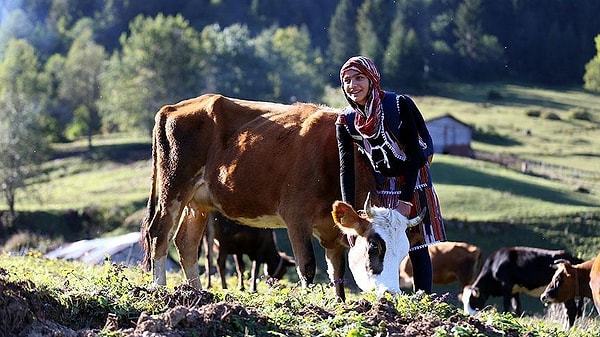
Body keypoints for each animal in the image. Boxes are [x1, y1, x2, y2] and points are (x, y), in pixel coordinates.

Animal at [141, 92, 424, 300]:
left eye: (403, 252)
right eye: (375, 247)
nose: (391, 294)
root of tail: (172, 108)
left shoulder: (331, 231)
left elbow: (337, 272)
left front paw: (339, 304)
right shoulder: (296, 216)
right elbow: (307, 266)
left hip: (198, 203)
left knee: (186, 243)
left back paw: (197, 294)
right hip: (175, 188)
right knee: (159, 233)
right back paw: (160, 290)